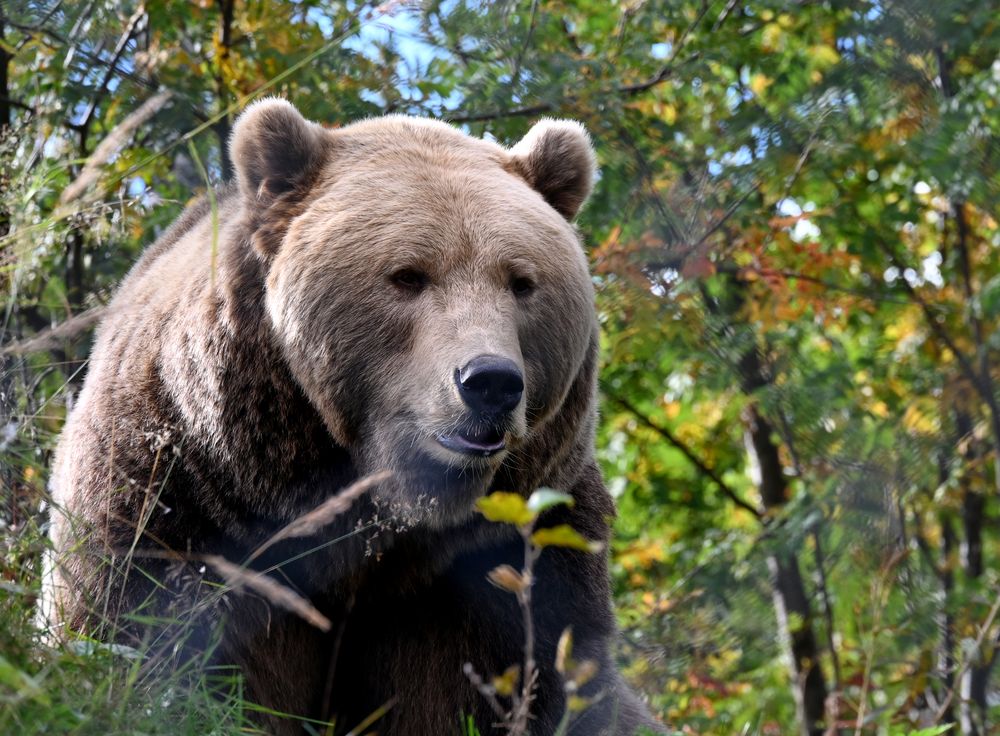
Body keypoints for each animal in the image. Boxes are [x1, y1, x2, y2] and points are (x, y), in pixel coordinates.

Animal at [42, 99, 662, 735]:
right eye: (408, 275)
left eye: (521, 282)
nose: (490, 382)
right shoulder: (178, 491)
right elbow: (142, 629)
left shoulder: (502, 561)